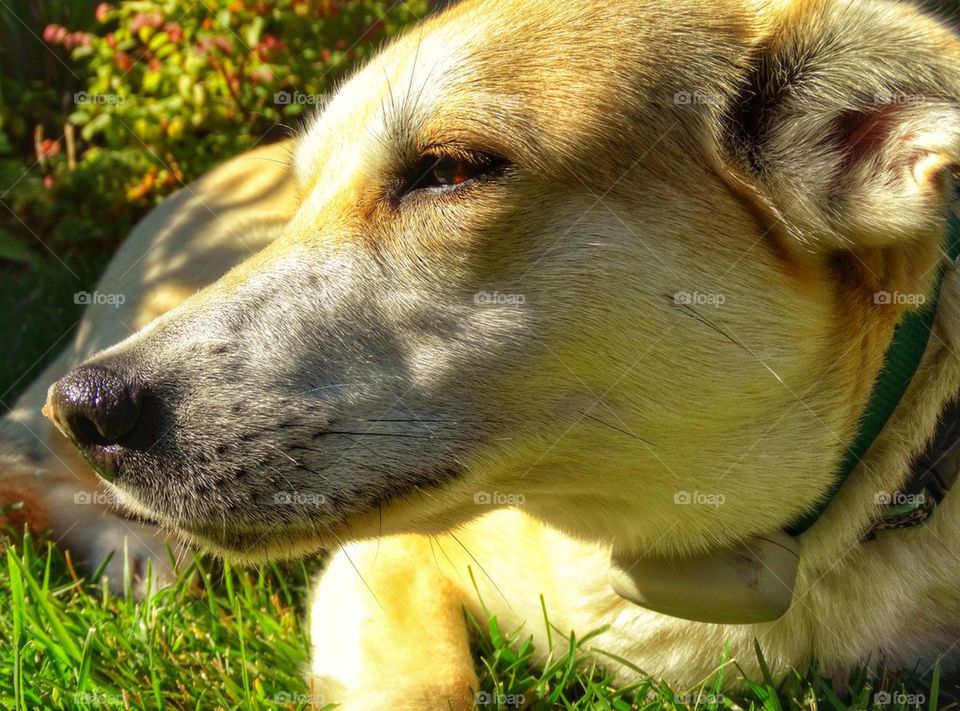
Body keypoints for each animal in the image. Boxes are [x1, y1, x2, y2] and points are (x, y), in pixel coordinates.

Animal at [1, 0, 960, 708]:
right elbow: (427, 684)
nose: (90, 407)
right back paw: (138, 558)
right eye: (309, 200)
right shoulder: (379, 564)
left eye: (451, 170)